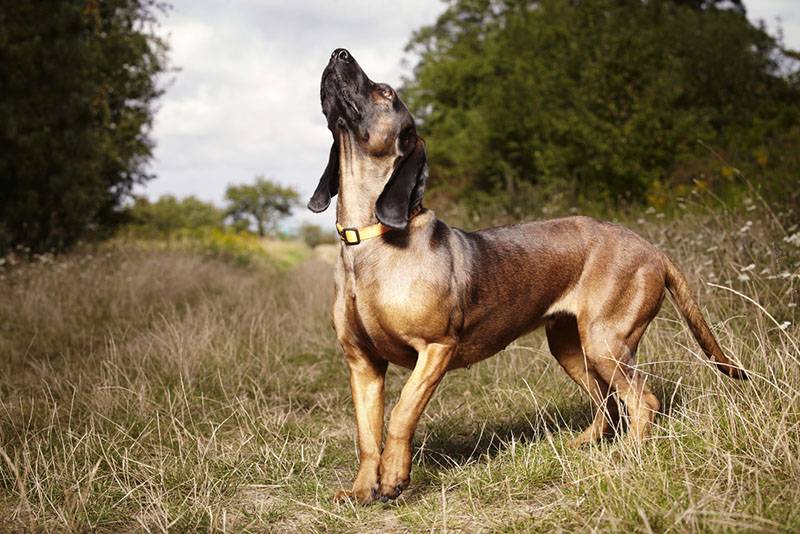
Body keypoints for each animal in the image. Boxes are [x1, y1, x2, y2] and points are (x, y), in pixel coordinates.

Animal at [308, 49, 752, 506]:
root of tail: (654, 250)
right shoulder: (362, 364)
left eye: (386, 93)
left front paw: (395, 477)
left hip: (606, 343)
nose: (338, 53)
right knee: (608, 403)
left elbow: (400, 415)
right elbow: (366, 435)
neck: (367, 240)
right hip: (572, 347)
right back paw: (586, 444)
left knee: (642, 400)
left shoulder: (435, 349)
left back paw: (627, 454)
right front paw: (362, 490)